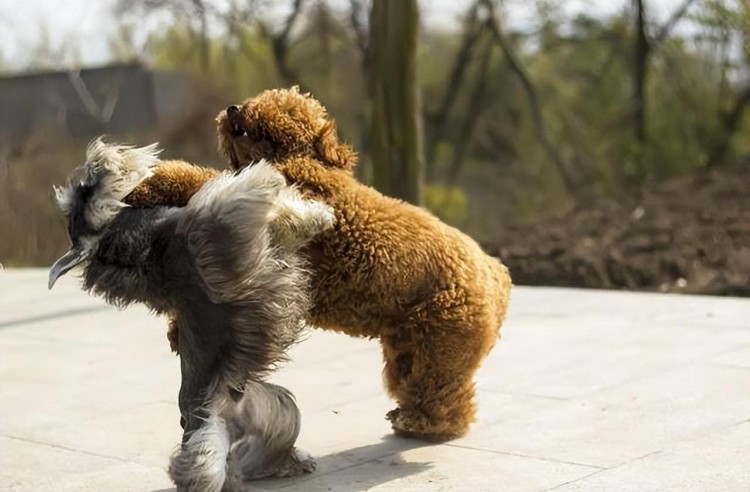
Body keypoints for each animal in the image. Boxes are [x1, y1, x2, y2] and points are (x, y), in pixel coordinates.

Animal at [47, 139, 328, 492]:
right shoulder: (216, 223)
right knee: (206, 469)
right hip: (224, 438)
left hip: (280, 411)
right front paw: (317, 215)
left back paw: (288, 463)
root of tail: (224, 419)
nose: (97, 161)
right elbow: (263, 196)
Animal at [126, 88, 516, 442]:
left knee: (447, 394)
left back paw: (423, 424)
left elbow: (198, 181)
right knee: (422, 385)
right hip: (408, 346)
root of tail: (497, 273)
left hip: (443, 344)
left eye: (283, 108)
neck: (302, 160)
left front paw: (147, 183)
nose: (234, 107)